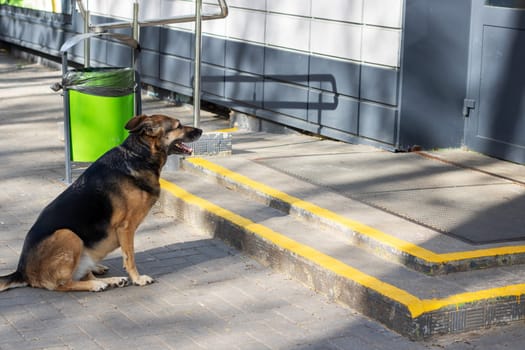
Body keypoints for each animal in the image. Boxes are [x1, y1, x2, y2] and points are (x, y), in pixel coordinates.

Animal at [0, 113, 202, 292]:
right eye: (178, 125)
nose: (200, 130)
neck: (137, 154)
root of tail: (22, 271)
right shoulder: (126, 227)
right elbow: (130, 257)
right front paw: (137, 279)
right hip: (68, 235)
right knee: (63, 284)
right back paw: (97, 284)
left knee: (82, 273)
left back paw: (107, 277)